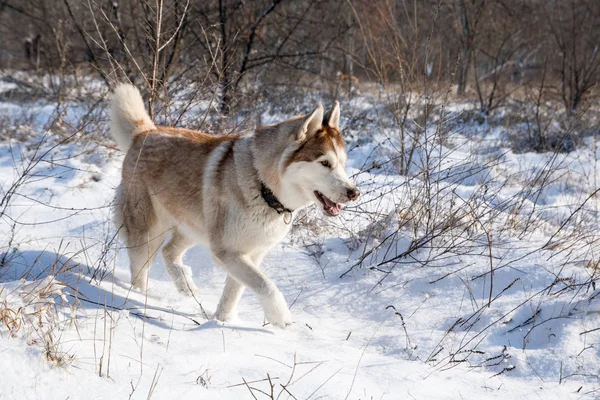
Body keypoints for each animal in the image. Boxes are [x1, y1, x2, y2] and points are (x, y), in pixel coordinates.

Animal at [110, 84, 358, 328]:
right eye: (324, 163)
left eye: (342, 164)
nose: (354, 192)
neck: (263, 187)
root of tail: (145, 133)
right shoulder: (228, 251)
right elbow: (266, 285)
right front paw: (281, 317)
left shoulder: (251, 254)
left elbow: (235, 291)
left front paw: (221, 321)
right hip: (147, 230)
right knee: (140, 267)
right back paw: (139, 294)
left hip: (195, 227)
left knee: (168, 252)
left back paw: (186, 285)